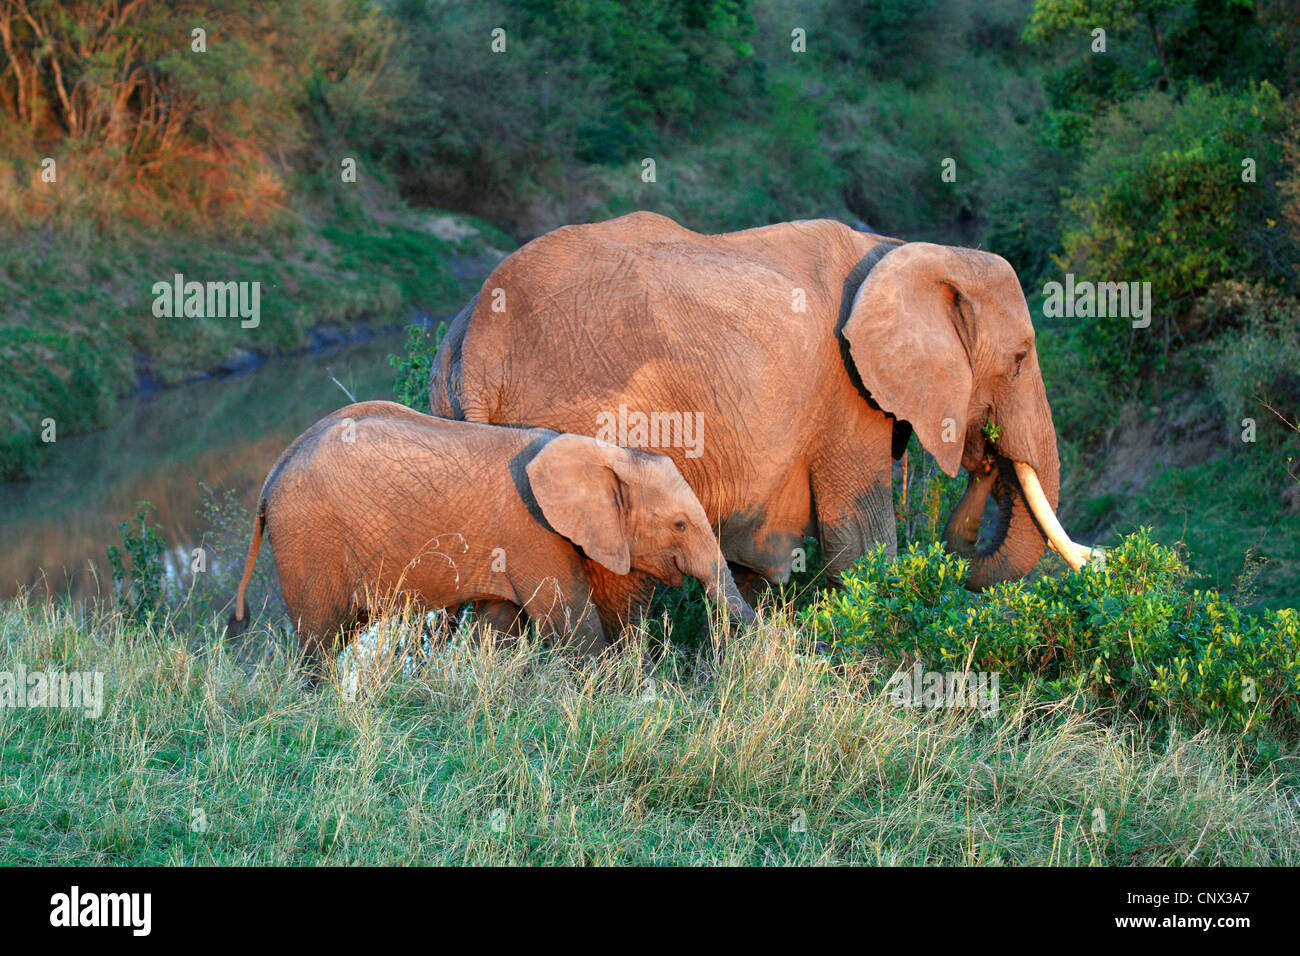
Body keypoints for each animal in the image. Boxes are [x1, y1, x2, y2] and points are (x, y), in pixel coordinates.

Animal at [223, 400, 754, 660]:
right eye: (679, 524)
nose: (753, 626)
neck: (601, 451)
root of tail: (272, 475)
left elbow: (497, 627)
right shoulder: (531, 532)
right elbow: (571, 623)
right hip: (310, 539)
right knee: (318, 638)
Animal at [428, 212, 1097, 613]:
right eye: (1019, 359)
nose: (986, 454)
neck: (904, 251)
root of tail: (483, 341)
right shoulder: (846, 391)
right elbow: (859, 540)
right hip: (589, 418)